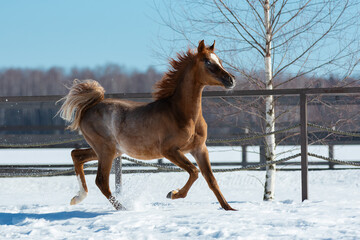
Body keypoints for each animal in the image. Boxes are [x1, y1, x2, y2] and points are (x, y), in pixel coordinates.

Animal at [59, 40, 236, 211]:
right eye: (207, 61)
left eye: (219, 61)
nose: (231, 79)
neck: (181, 114)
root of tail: (88, 108)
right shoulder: (169, 150)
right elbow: (194, 171)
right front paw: (173, 194)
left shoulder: (199, 149)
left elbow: (211, 179)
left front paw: (229, 209)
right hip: (106, 150)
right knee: (101, 181)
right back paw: (123, 208)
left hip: (109, 150)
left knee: (76, 155)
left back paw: (77, 198)